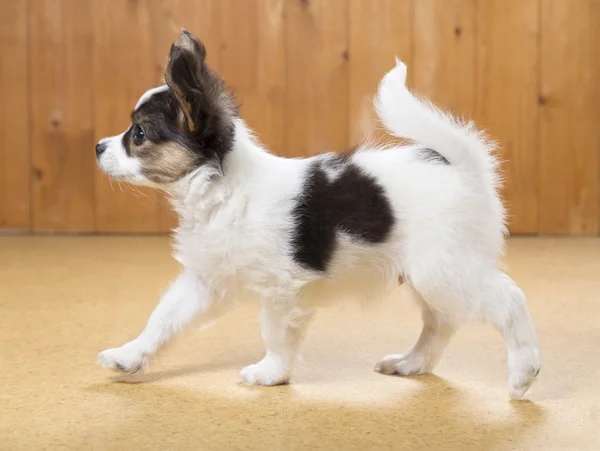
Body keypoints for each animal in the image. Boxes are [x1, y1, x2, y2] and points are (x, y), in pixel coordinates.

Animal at [97, 30, 540, 400]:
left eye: (138, 134)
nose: (98, 147)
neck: (223, 191)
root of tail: (464, 166)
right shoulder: (205, 281)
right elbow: (162, 319)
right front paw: (129, 355)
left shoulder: (279, 291)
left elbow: (275, 334)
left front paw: (271, 373)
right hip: (431, 277)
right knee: (441, 322)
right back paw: (411, 363)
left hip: (442, 270)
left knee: (509, 299)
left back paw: (523, 371)